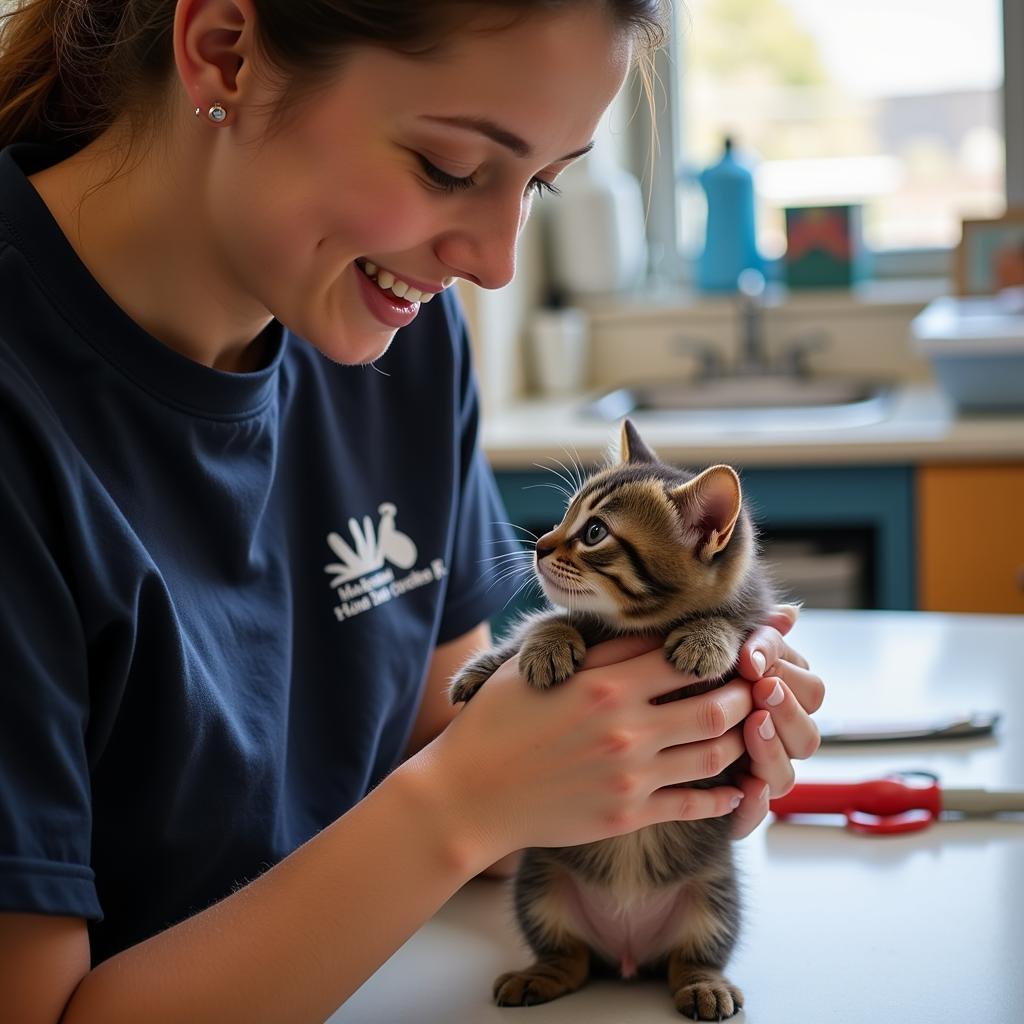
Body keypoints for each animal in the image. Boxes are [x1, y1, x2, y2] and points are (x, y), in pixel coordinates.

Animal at [452, 419, 770, 1019]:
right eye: (566, 515)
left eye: (595, 531)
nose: (538, 545)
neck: (630, 627)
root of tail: (627, 953)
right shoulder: (570, 616)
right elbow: (540, 621)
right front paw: (527, 651)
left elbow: (737, 627)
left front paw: (708, 637)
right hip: (540, 885)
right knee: (570, 959)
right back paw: (539, 976)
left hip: (715, 898)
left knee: (689, 958)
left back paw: (705, 984)